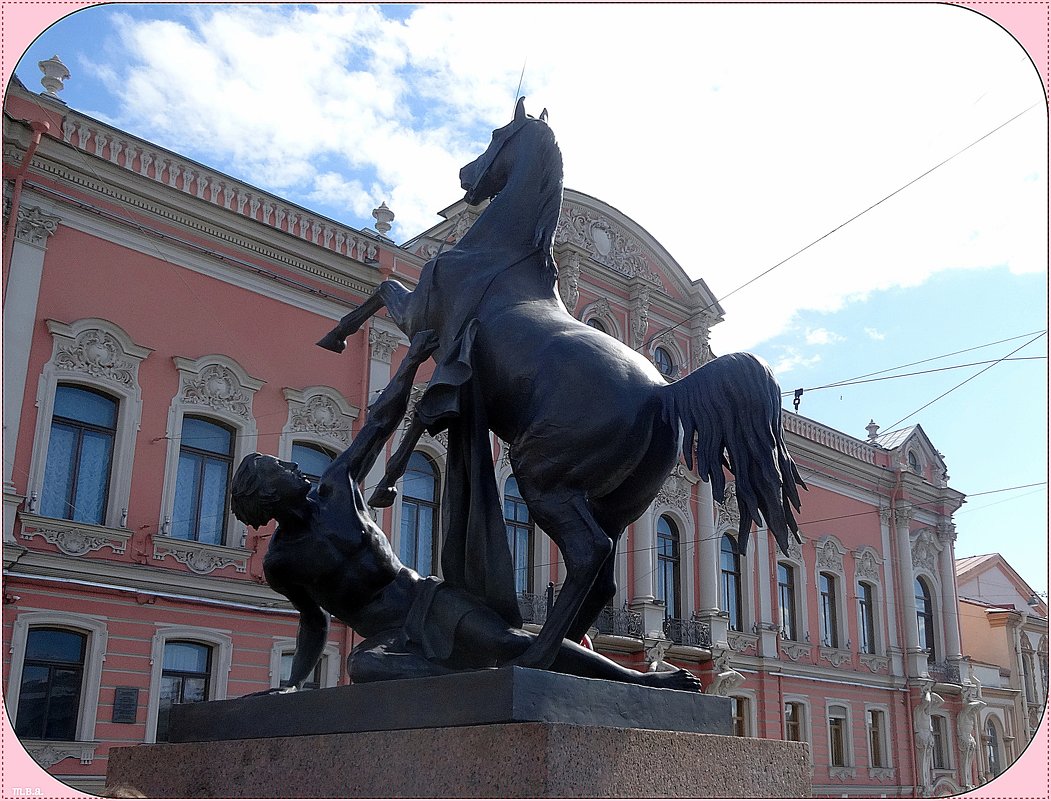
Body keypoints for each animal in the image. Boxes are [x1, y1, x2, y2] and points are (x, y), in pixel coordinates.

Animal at [319, 99, 802, 668]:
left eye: (496, 134)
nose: (465, 174)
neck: (500, 251)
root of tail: (664, 391)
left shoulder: (422, 319)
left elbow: (385, 299)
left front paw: (338, 338)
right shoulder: (434, 342)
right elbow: (409, 395)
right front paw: (387, 469)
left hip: (541, 473)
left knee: (590, 554)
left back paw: (533, 656)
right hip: (616, 503)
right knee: (603, 573)